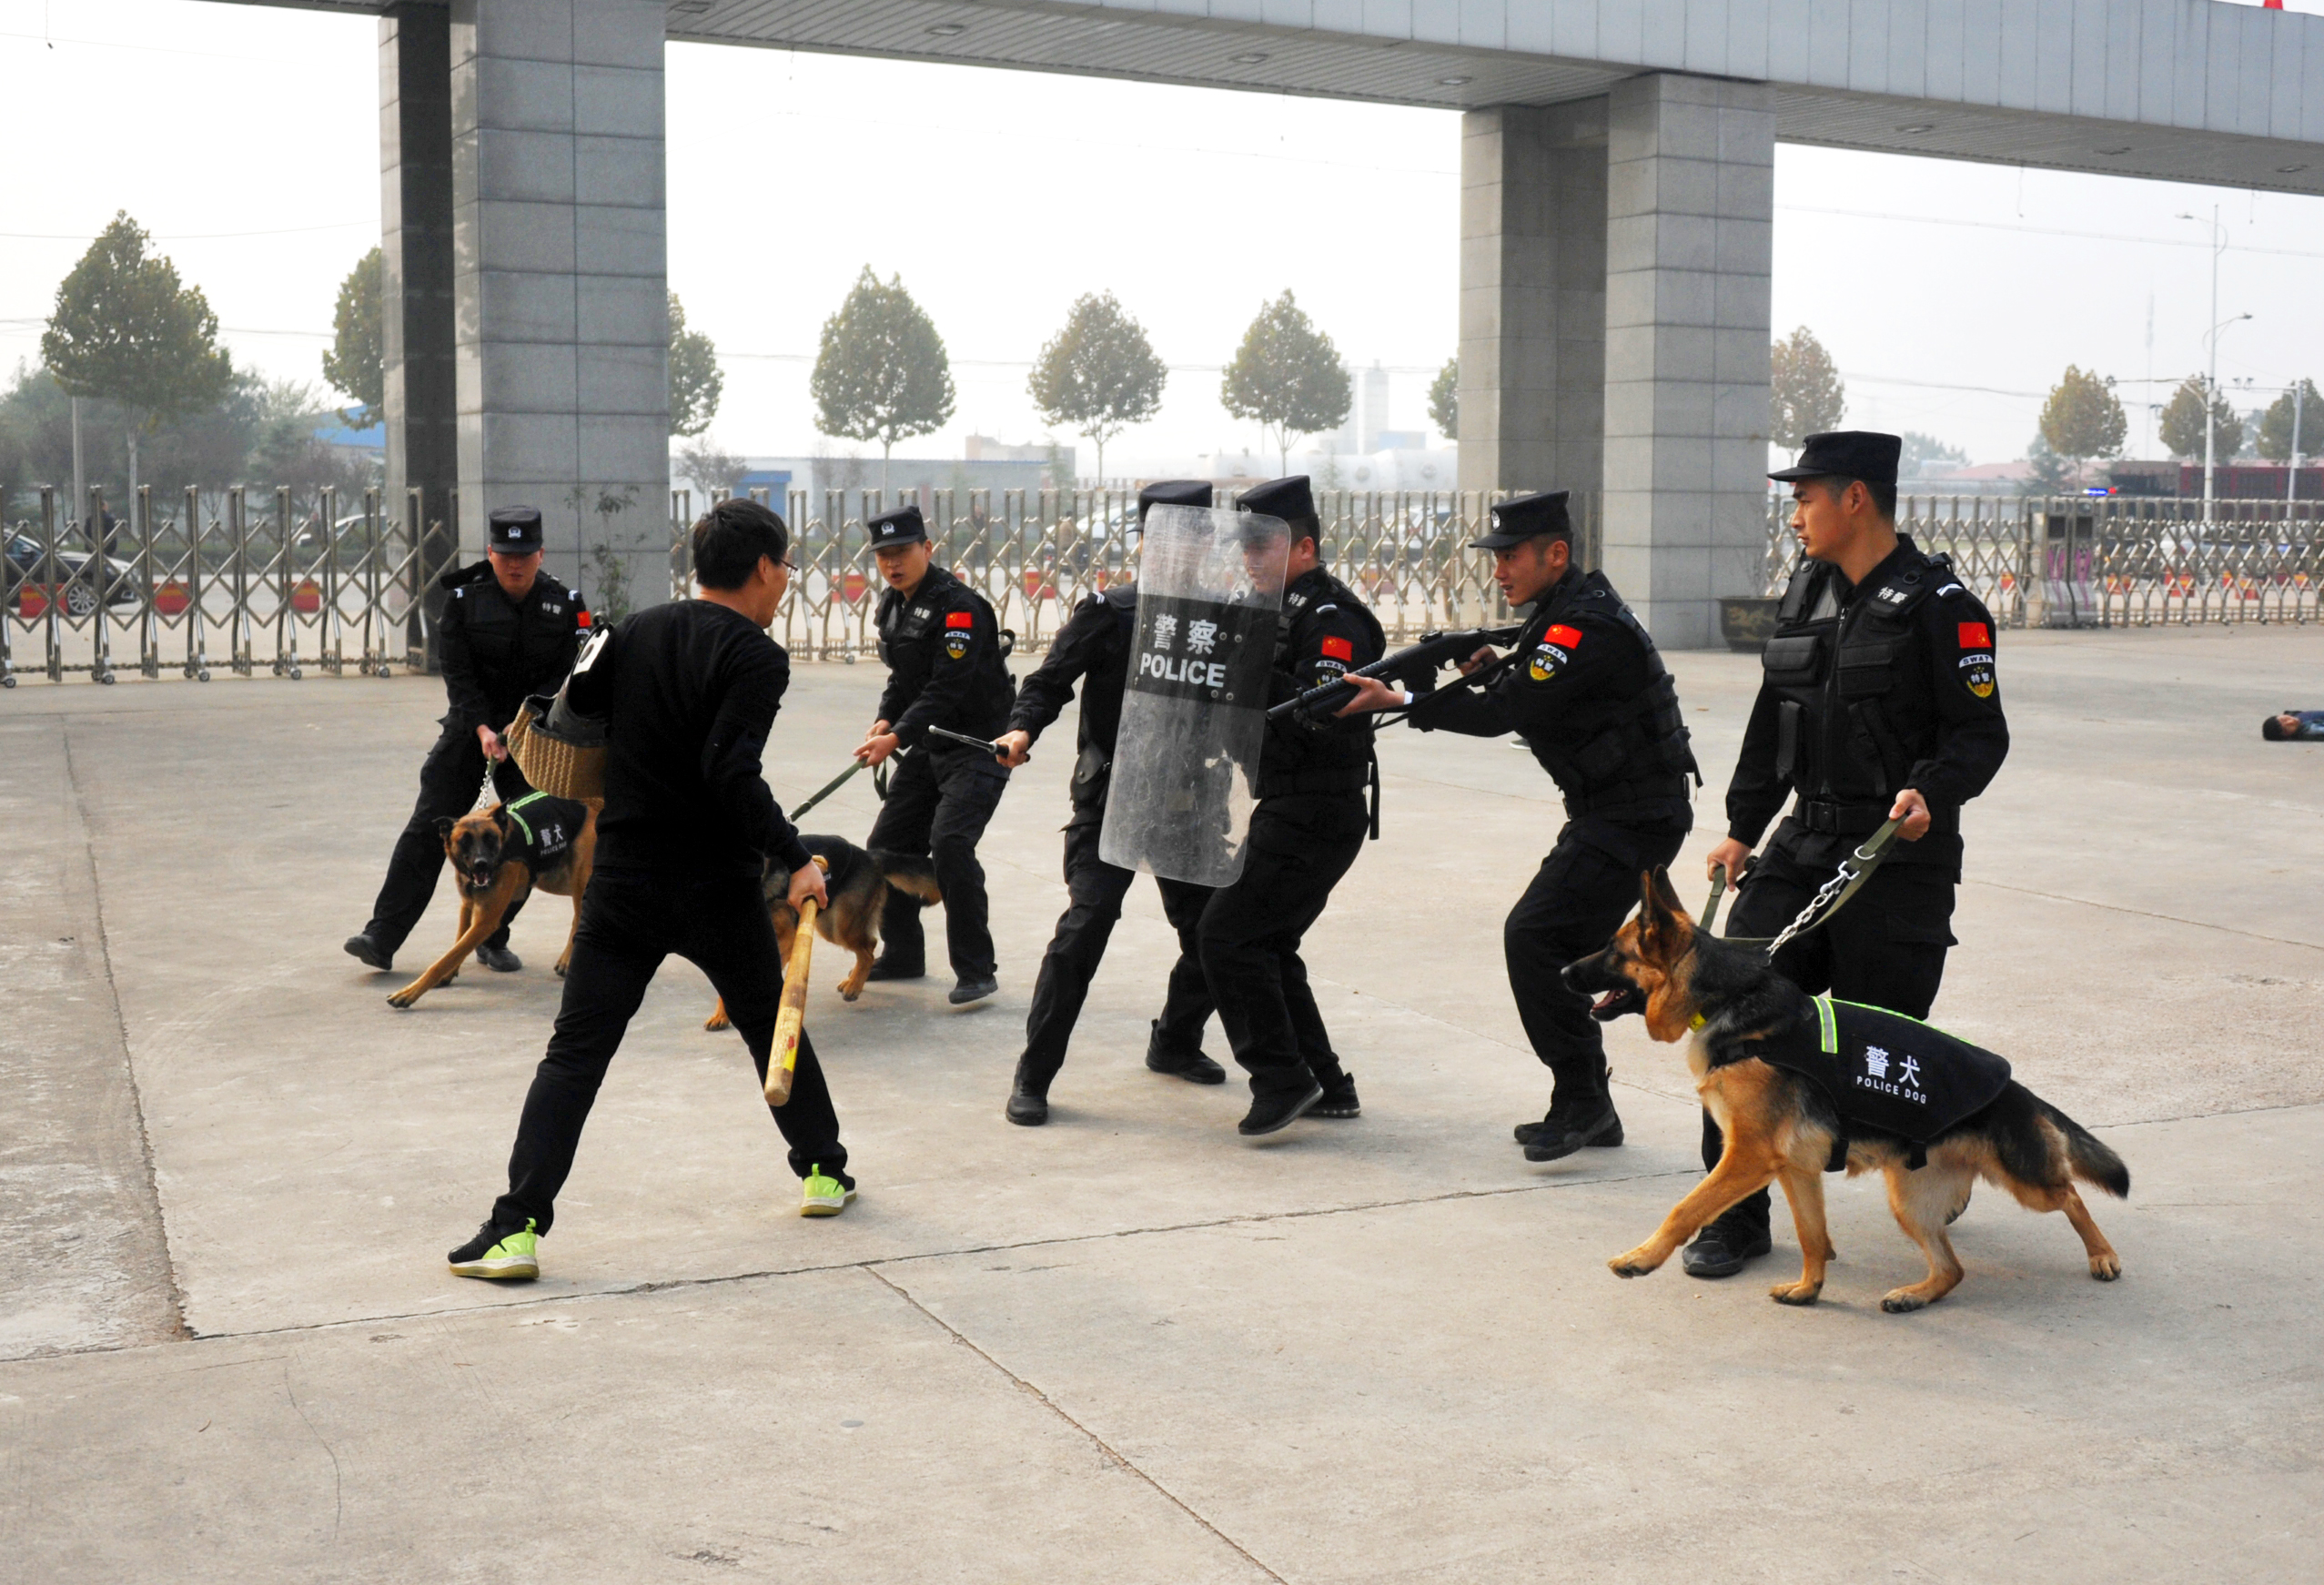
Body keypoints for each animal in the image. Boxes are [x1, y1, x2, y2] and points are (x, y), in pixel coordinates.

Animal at [388, 790, 599, 1013]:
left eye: (490, 838)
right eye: (464, 841)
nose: (481, 864)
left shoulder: (484, 922)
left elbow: (446, 958)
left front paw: (409, 992)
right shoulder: (468, 906)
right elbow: (458, 944)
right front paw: (448, 974)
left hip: (577, 879)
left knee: (579, 917)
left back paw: (568, 960)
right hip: (555, 879)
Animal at [697, 832, 943, 1032]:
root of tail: (869, 856)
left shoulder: (786, 939)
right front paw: (722, 1015)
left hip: (838, 928)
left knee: (868, 948)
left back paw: (854, 986)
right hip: (828, 923)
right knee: (867, 946)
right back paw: (852, 980)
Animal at [1561, 864, 2128, 1310]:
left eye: (1612, 950)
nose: (1564, 969)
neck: (1728, 998)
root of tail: (2021, 1092)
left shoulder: (1748, 1155)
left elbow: (1686, 1207)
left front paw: (1641, 1257)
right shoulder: (1794, 1168)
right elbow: (1812, 1235)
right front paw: (1809, 1288)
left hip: (2025, 1182)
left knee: (2071, 1195)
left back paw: (2103, 1254)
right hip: (1910, 1199)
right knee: (1953, 1269)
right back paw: (1914, 1295)